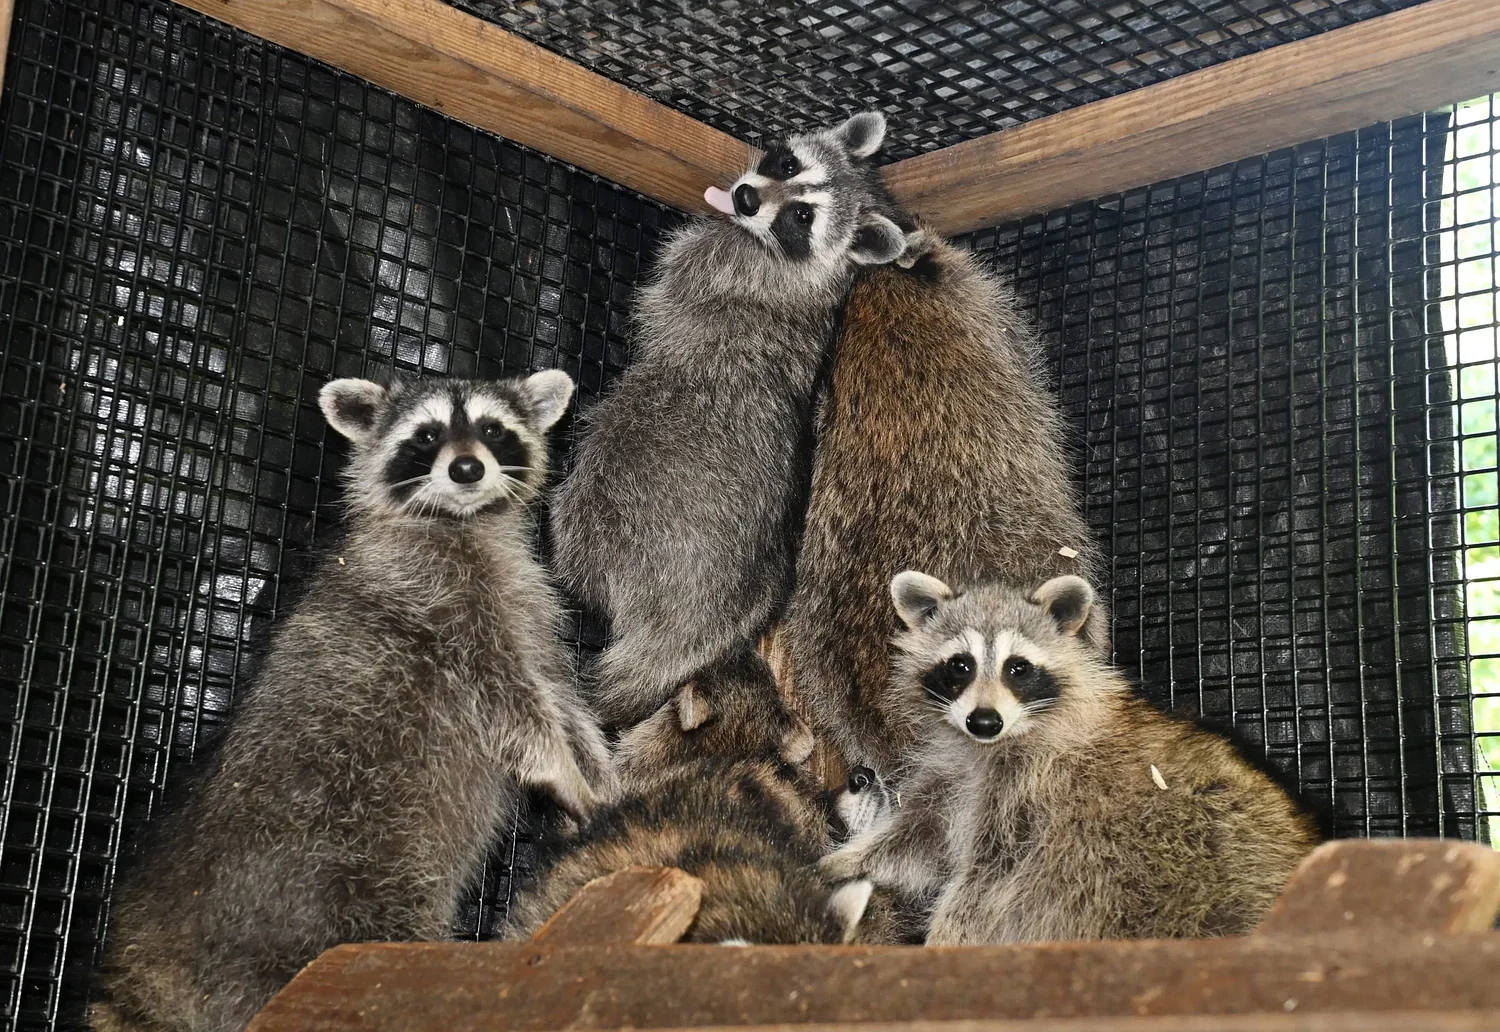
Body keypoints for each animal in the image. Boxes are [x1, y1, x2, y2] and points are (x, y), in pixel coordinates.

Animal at [90, 373, 617, 1032]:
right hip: (332, 861)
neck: (462, 521)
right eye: (426, 436)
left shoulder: (527, 607)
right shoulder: (435, 606)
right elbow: (511, 707)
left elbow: (558, 693)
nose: (467, 468)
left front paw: (600, 770)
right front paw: (564, 771)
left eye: (494, 429)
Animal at [551, 112, 907, 727]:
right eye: (786, 163)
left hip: (629, 485)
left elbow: (672, 281)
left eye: (802, 217)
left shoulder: (719, 263)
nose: (744, 197)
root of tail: (689, 625)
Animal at [819, 571, 1319, 944]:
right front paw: (839, 863)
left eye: (1017, 668)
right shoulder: (952, 776)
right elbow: (916, 840)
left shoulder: (1032, 792)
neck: (988, 747)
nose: (984, 721)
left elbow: (990, 879)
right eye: (960, 665)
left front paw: (945, 937)